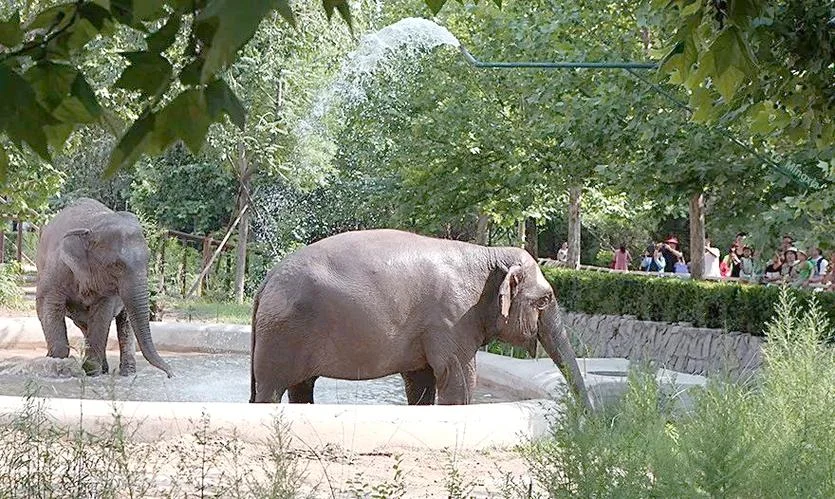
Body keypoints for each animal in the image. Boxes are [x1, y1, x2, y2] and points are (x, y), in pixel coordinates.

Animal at [35, 198, 172, 377]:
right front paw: (57, 363)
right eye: (116, 265)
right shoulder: (56, 269)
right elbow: (47, 305)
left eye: (148, 260)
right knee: (84, 324)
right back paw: (105, 369)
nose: (170, 374)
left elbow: (103, 313)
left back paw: (126, 372)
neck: (92, 225)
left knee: (124, 324)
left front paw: (91, 370)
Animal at [250, 229, 593, 410]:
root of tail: (265, 282)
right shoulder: (452, 320)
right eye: (545, 300)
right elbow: (459, 378)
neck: (488, 254)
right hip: (283, 333)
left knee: (300, 387)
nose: (588, 417)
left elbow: (421, 381)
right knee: (272, 389)